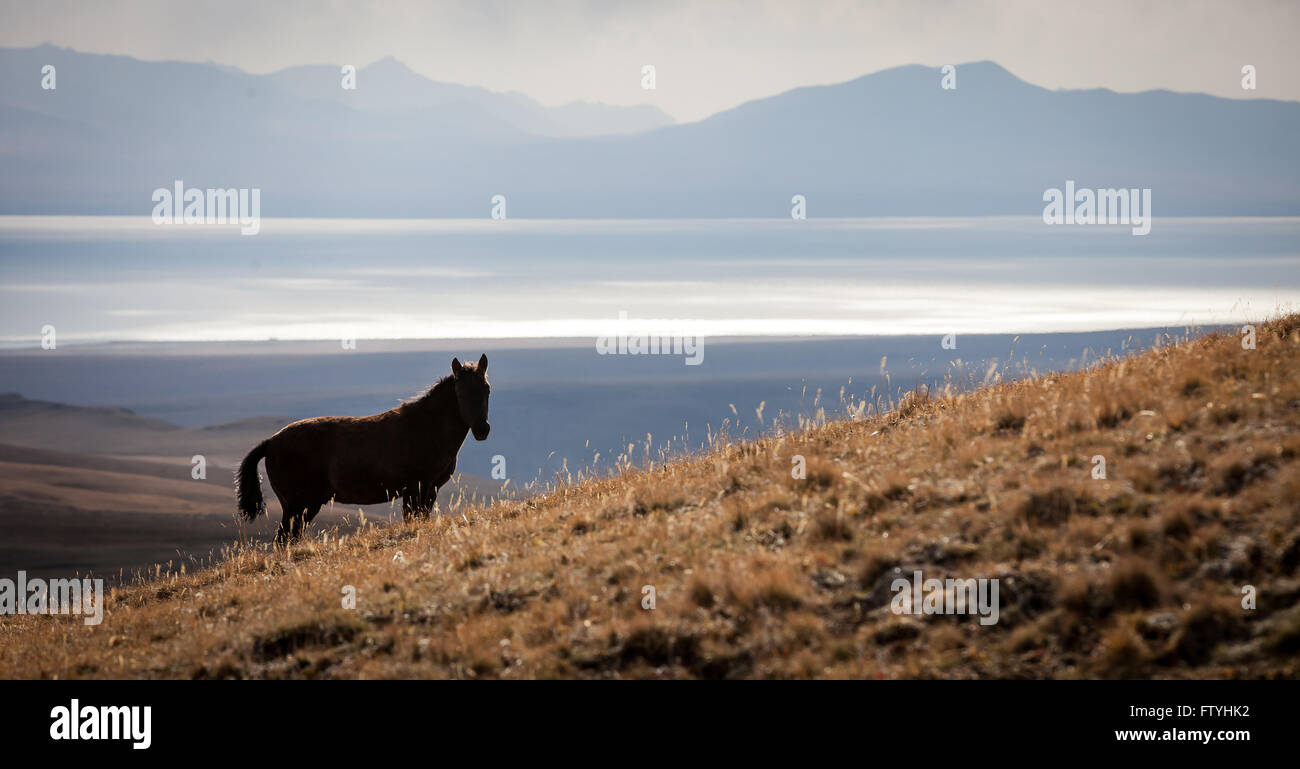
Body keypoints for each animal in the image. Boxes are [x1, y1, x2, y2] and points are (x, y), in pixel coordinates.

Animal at [233, 350, 491, 542]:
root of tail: (271, 442)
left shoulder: (430, 490)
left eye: (487, 390)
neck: (427, 426)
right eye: (460, 393)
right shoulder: (415, 489)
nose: (482, 430)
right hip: (299, 507)